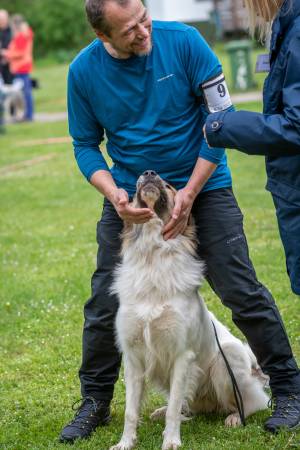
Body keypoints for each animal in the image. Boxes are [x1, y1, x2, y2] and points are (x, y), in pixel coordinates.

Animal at [110, 171, 270, 448]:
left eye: (170, 185)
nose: (149, 172)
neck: (153, 258)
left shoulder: (182, 356)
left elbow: (175, 408)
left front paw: (171, 441)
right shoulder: (133, 357)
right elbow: (132, 411)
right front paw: (126, 442)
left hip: (226, 362)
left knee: (252, 402)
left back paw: (235, 418)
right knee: (189, 405)